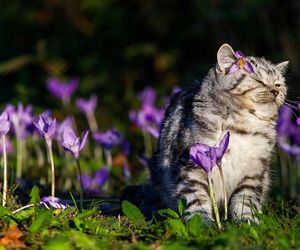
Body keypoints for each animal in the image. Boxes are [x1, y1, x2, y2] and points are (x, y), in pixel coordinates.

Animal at [146, 43, 290, 223]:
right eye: (259, 81)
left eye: (278, 84)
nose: (275, 91)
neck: (244, 128)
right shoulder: (193, 165)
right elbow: (196, 198)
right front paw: (202, 223)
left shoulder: (254, 171)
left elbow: (245, 200)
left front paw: (248, 221)